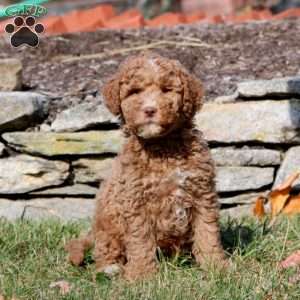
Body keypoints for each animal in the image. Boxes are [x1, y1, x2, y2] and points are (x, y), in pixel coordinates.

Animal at [64, 52, 226, 282]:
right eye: (135, 92)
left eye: (166, 90)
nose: (149, 110)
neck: (163, 147)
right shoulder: (136, 201)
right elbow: (140, 240)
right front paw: (142, 274)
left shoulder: (202, 193)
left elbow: (207, 232)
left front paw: (216, 267)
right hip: (108, 220)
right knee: (104, 253)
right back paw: (110, 269)